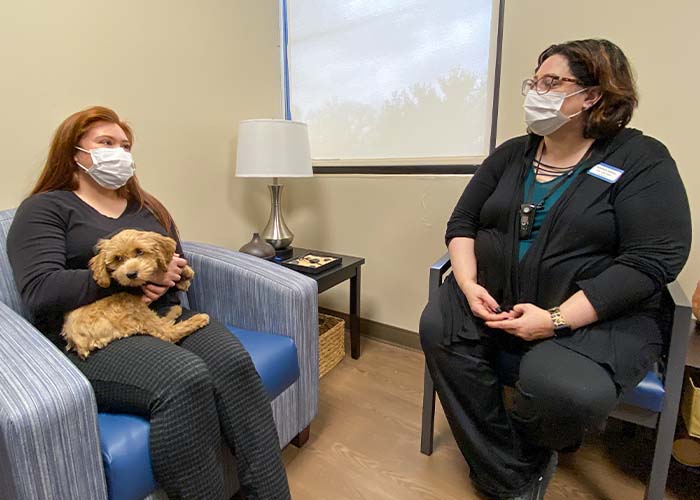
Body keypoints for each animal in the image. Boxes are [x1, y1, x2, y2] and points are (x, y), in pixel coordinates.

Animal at [61, 229, 209, 362]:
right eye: (118, 258)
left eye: (139, 251)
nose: (131, 274)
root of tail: (73, 339)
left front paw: (185, 274)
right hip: (131, 308)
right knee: (167, 332)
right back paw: (197, 318)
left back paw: (175, 310)